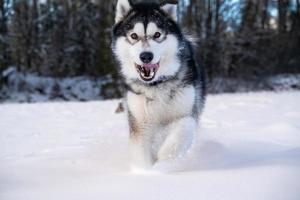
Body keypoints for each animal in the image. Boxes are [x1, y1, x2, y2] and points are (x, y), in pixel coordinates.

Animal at [111, 0, 205, 170]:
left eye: (157, 35)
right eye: (134, 36)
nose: (146, 56)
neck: (155, 85)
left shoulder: (187, 111)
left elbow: (184, 128)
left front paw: (164, 159)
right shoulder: (139, 122)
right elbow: (141, 153)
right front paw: (146, 171)